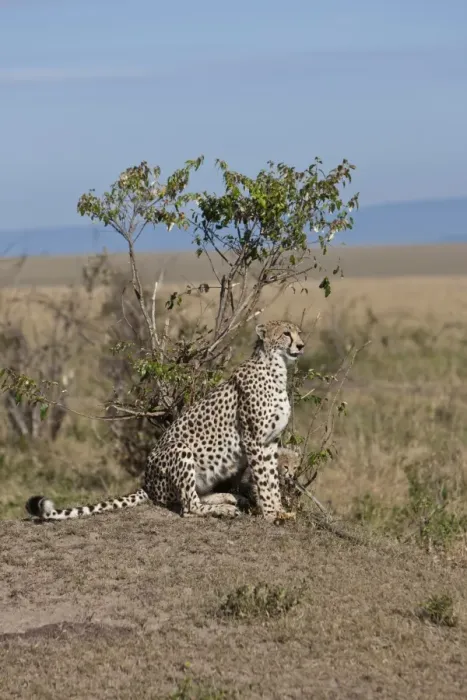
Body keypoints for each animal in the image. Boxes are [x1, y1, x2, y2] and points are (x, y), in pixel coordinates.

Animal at [25, 320, 305, 523]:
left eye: (299, 332)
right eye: (286, 334)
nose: (301, 345)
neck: (277, 368)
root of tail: (146, 483)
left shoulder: (270, 441)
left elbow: (271, 478)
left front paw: (279, 509)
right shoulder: (254, 440)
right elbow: (265, 479)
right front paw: (272, 514)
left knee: (194, 498)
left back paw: (230, 498)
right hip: (180, 449)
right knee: (188, 507)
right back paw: (225, 509)